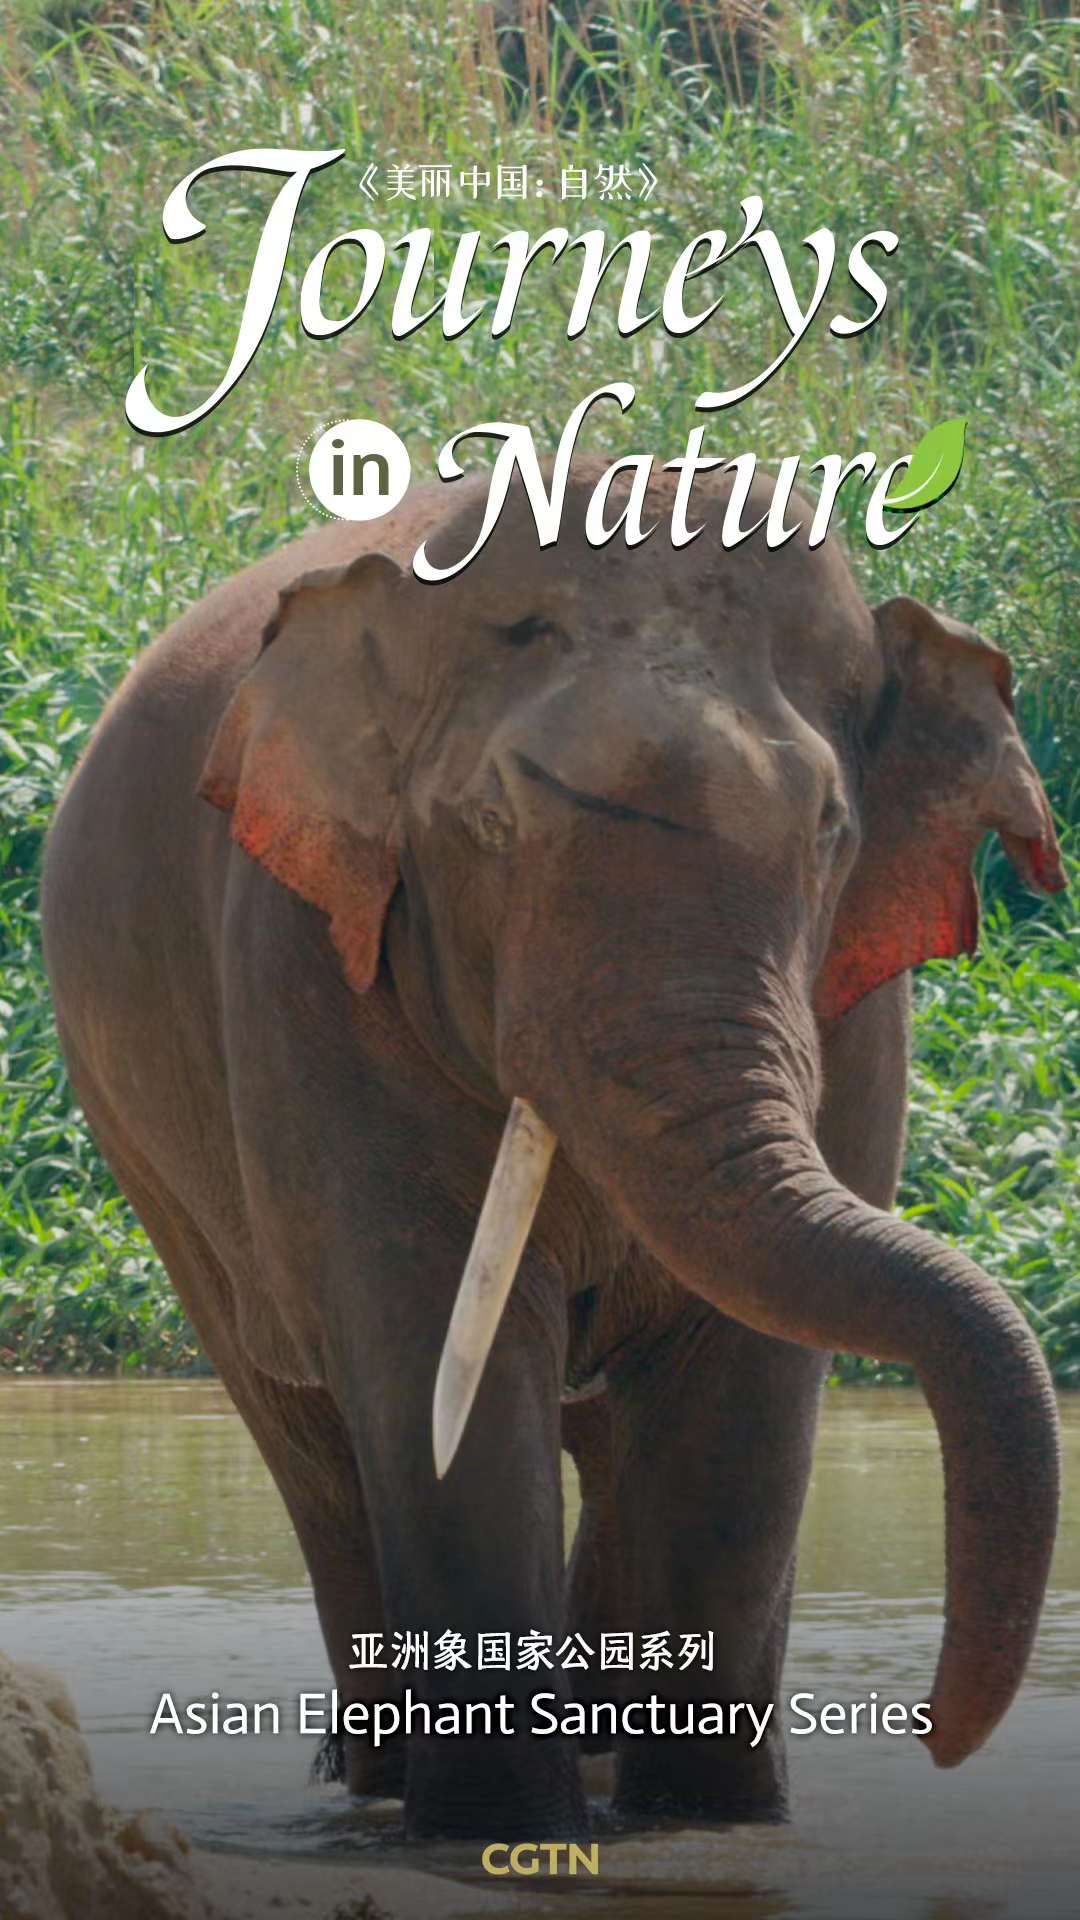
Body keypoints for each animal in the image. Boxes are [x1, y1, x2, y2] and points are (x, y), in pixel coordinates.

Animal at [41, 459, 1064, 1841]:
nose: (937, 1734)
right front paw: (498, 1834)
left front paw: (710, 1824)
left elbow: (745, 1381)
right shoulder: (309, 953)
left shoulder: (860, 1009)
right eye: (487, 824)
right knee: (305, 1430)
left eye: (831, 832)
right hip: (144, 1148)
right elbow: (436, 1346)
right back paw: (386, 1780)